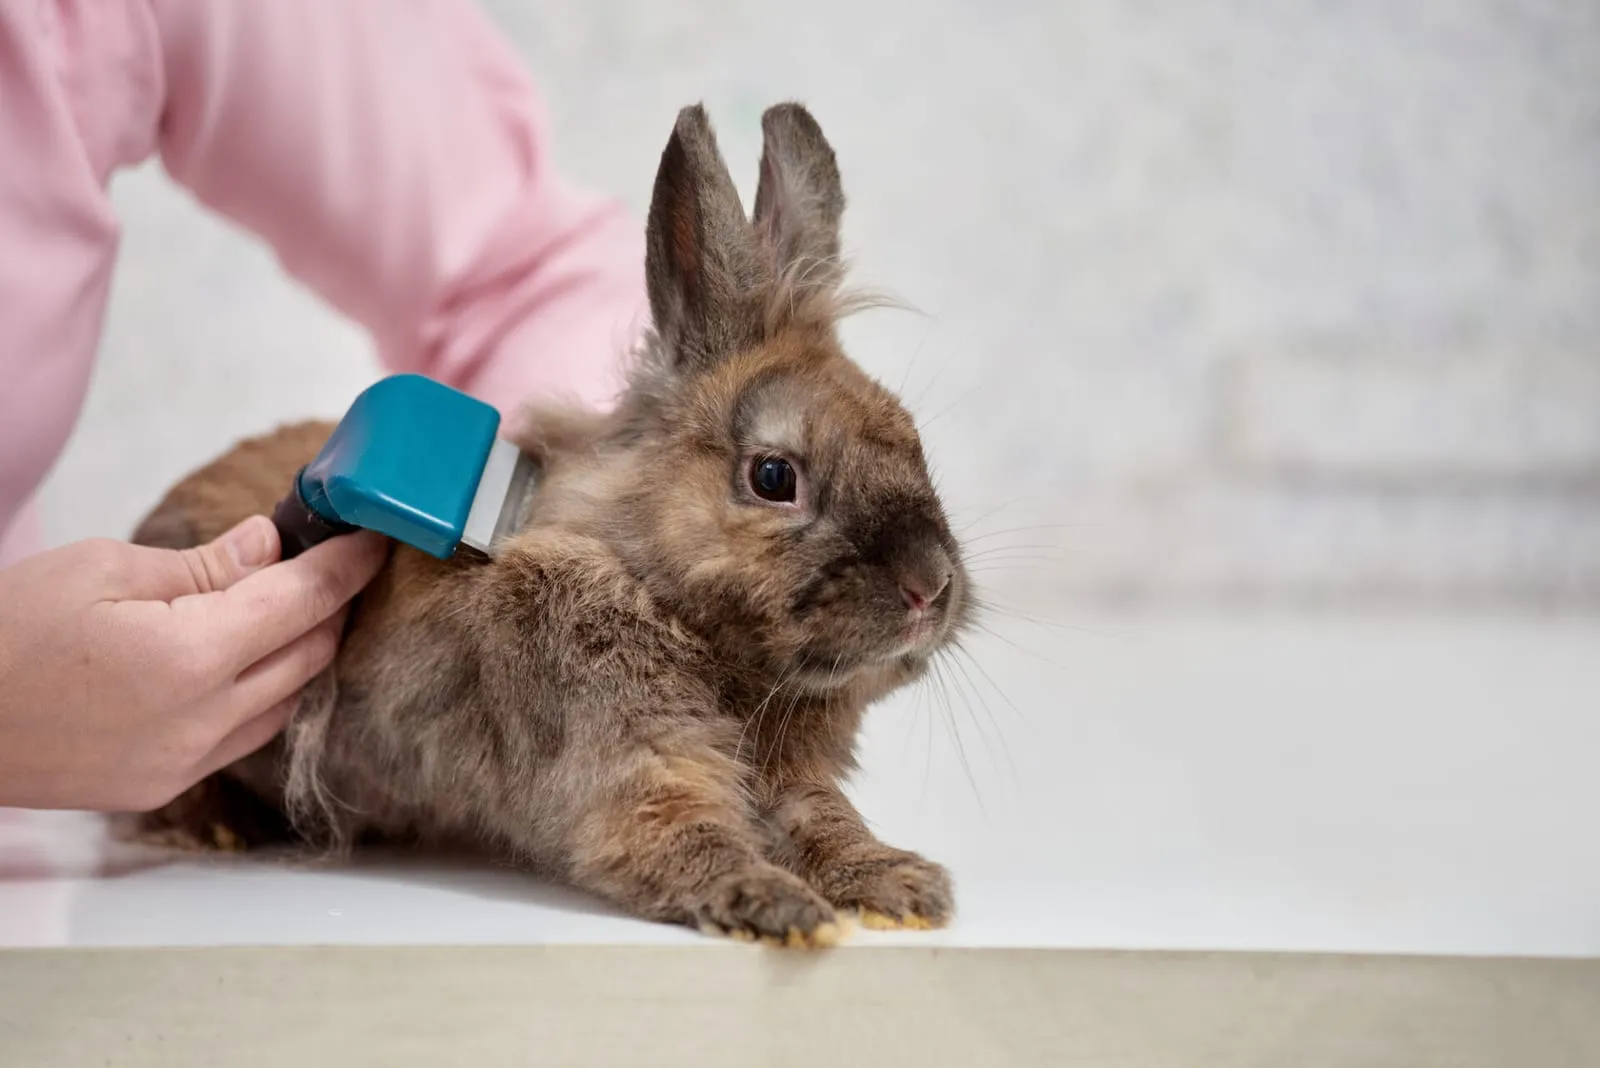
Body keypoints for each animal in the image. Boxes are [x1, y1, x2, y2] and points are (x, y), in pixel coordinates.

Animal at [125, 102, 971, 946]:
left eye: (912, 438)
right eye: (773, 477)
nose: (930, 588)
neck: (654, 591)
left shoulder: (788, 779)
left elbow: (824, 823)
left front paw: (899, 887)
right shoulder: (630, 769)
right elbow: (686, 836)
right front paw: (777, 907)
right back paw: (211, 827)